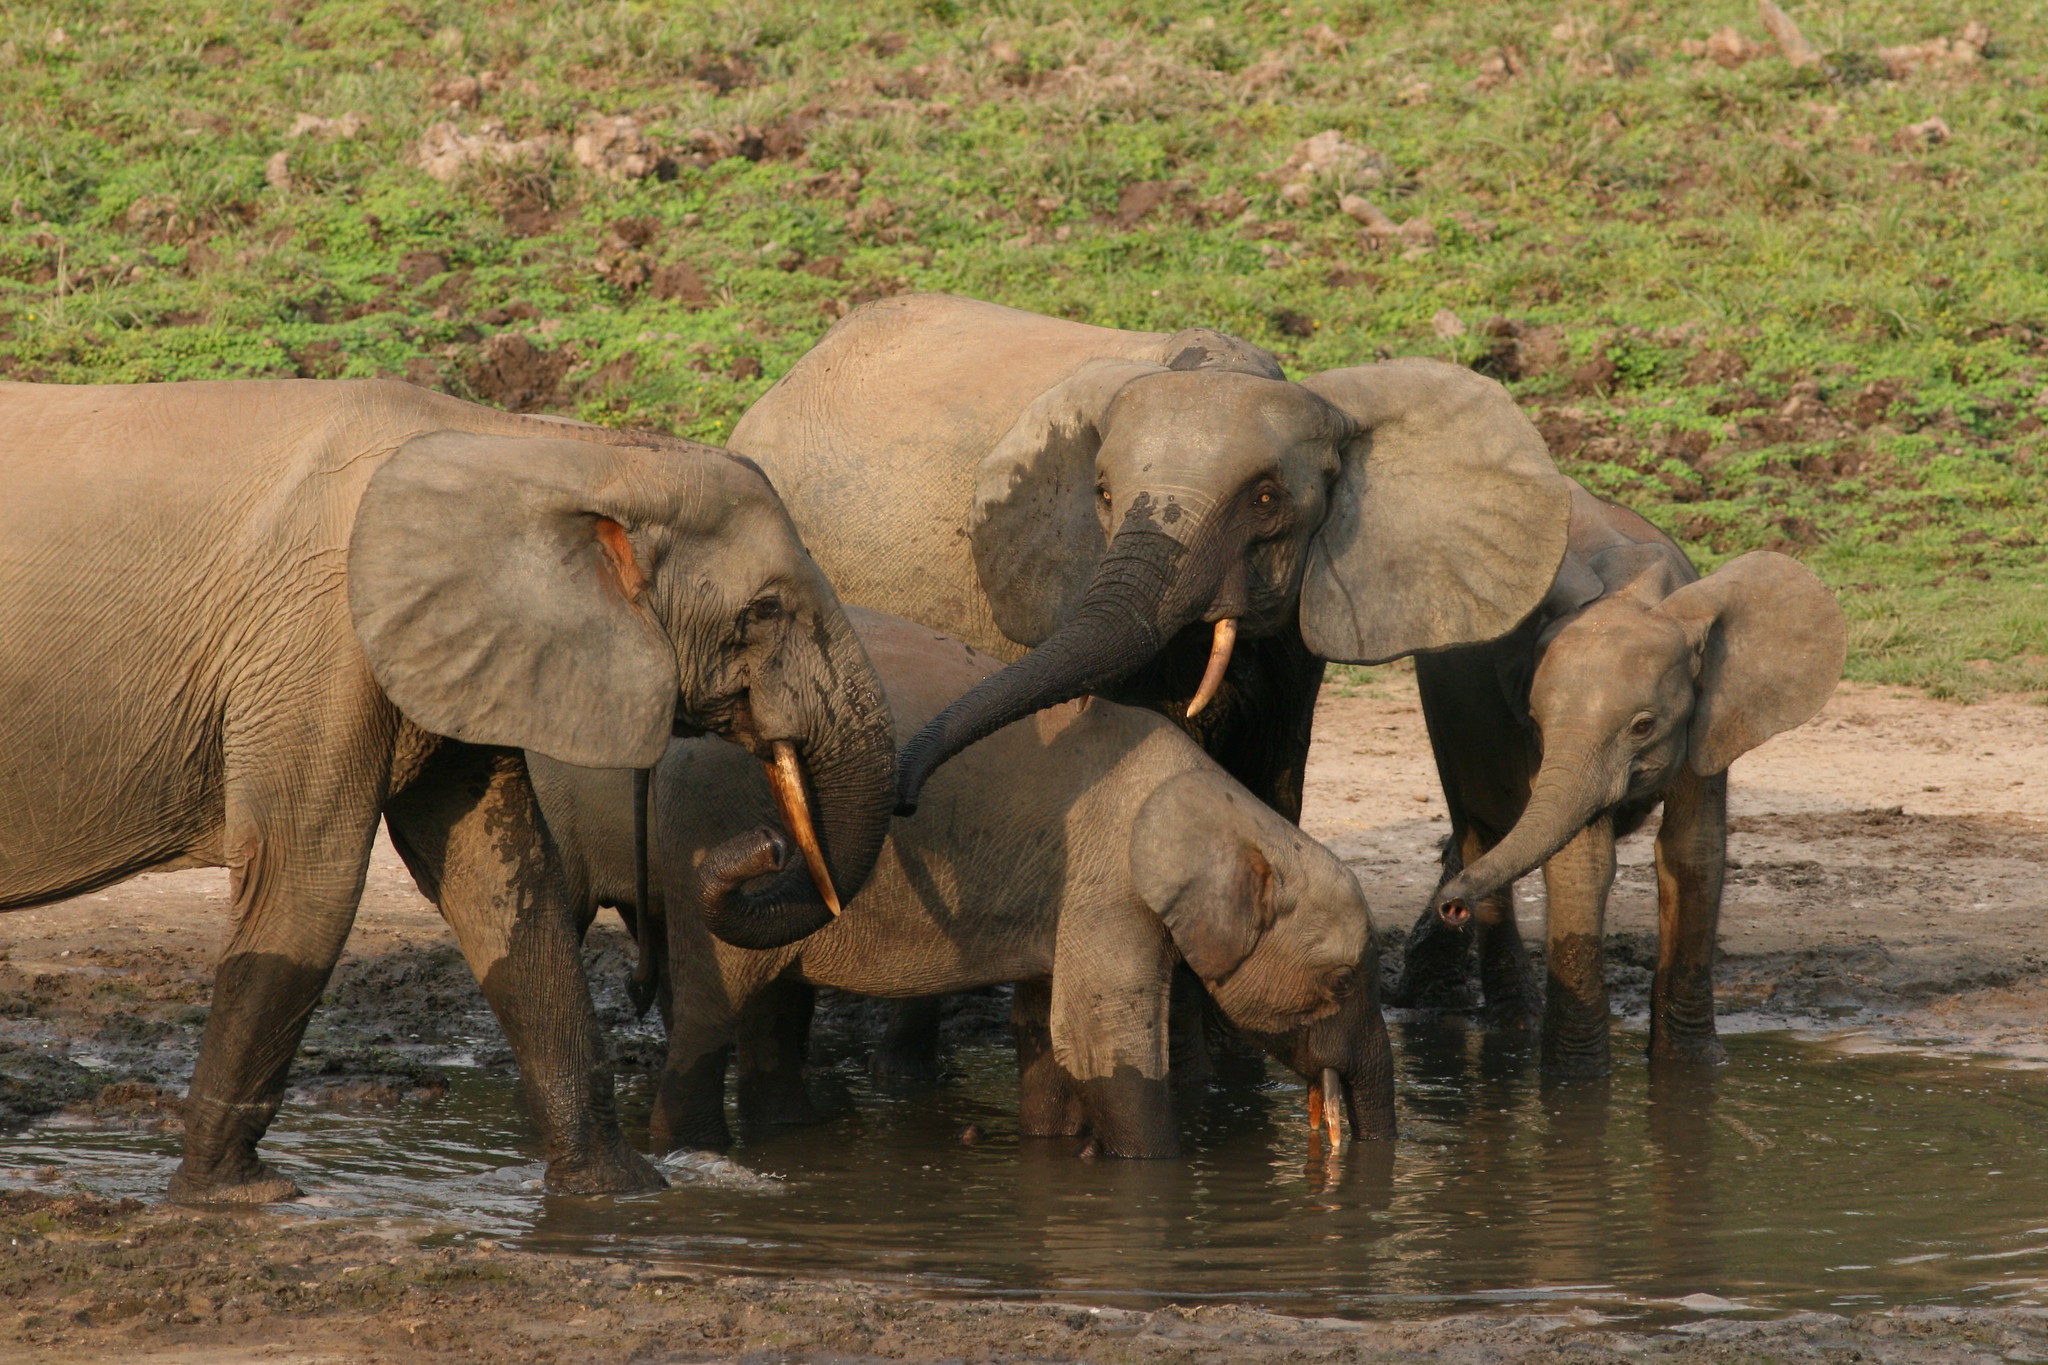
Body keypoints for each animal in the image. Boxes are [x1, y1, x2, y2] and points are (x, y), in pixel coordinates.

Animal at [0, 378, 897, 1203]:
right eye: (767, 609)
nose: (766, 844)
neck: (531, 445)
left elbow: (503, 883)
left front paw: (621, 1194)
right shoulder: (321, 642)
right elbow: (307, 879)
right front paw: (237, 1196)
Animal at [528, 613, 1392, 1162]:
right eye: (1342, 981)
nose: (1353, 1163)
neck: (1228, 808)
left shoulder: (1073, 895)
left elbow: (1048, 1030)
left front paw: (1059, 1153)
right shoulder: (1108, 885)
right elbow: (1101, 1037)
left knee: (769, 1002)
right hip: (704, 829)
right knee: (713, 1009)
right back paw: (694, 1152)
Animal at [1392, 485, 1843, 1072]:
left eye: (1643, 726)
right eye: (1535, 722)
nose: (1451, 905)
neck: (1636, 591)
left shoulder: (1710, 718)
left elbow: (1693, 852)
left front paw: (1692, 1066)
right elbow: (1582, 864)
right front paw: (1576, 1078)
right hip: (1444, 709)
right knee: (1481, 828)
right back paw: (1515, 1024)